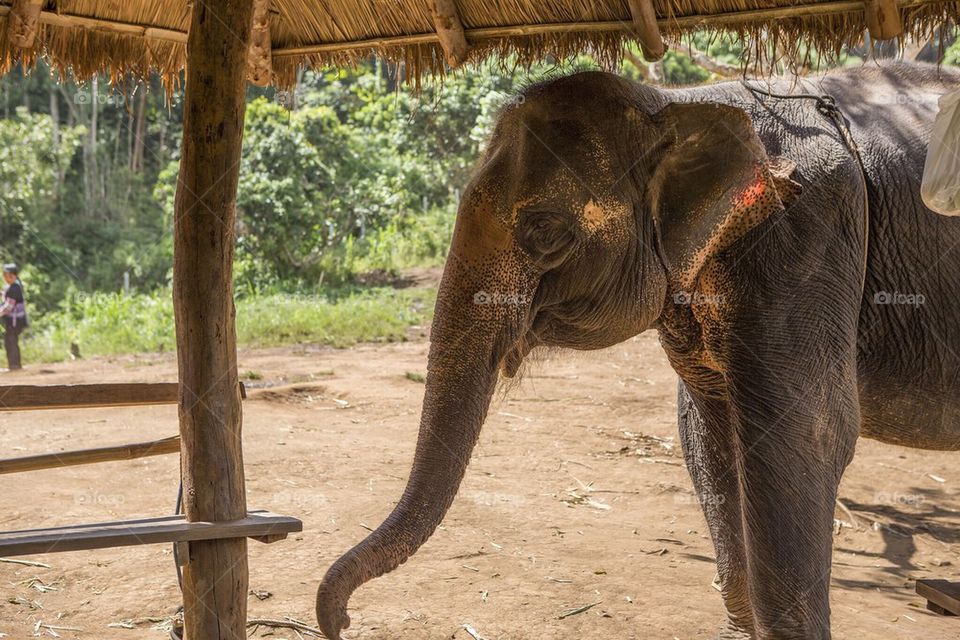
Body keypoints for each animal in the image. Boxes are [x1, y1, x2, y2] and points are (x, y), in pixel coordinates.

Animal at [316, 63, 960, 640]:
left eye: (545, 233)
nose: (342, 622)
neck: (680, 102)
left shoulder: (806, 234)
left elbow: (807, 431)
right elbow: (709, 435)